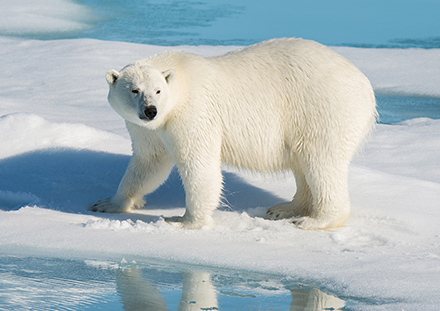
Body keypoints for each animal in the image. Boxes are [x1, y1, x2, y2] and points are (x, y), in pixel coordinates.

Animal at [90, 37, 378, 230]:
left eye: (158, 90)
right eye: (134, 90)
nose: (150, 110)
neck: (179, 77)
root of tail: (365, 85)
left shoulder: (192, 112)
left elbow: (199, 164)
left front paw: (184, 220)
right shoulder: (149, 129)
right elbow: (149, 163)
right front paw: (109, 203)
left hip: (323, 109)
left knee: (321, 162)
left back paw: (312, 220)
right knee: (303, 165)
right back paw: (284, 209)